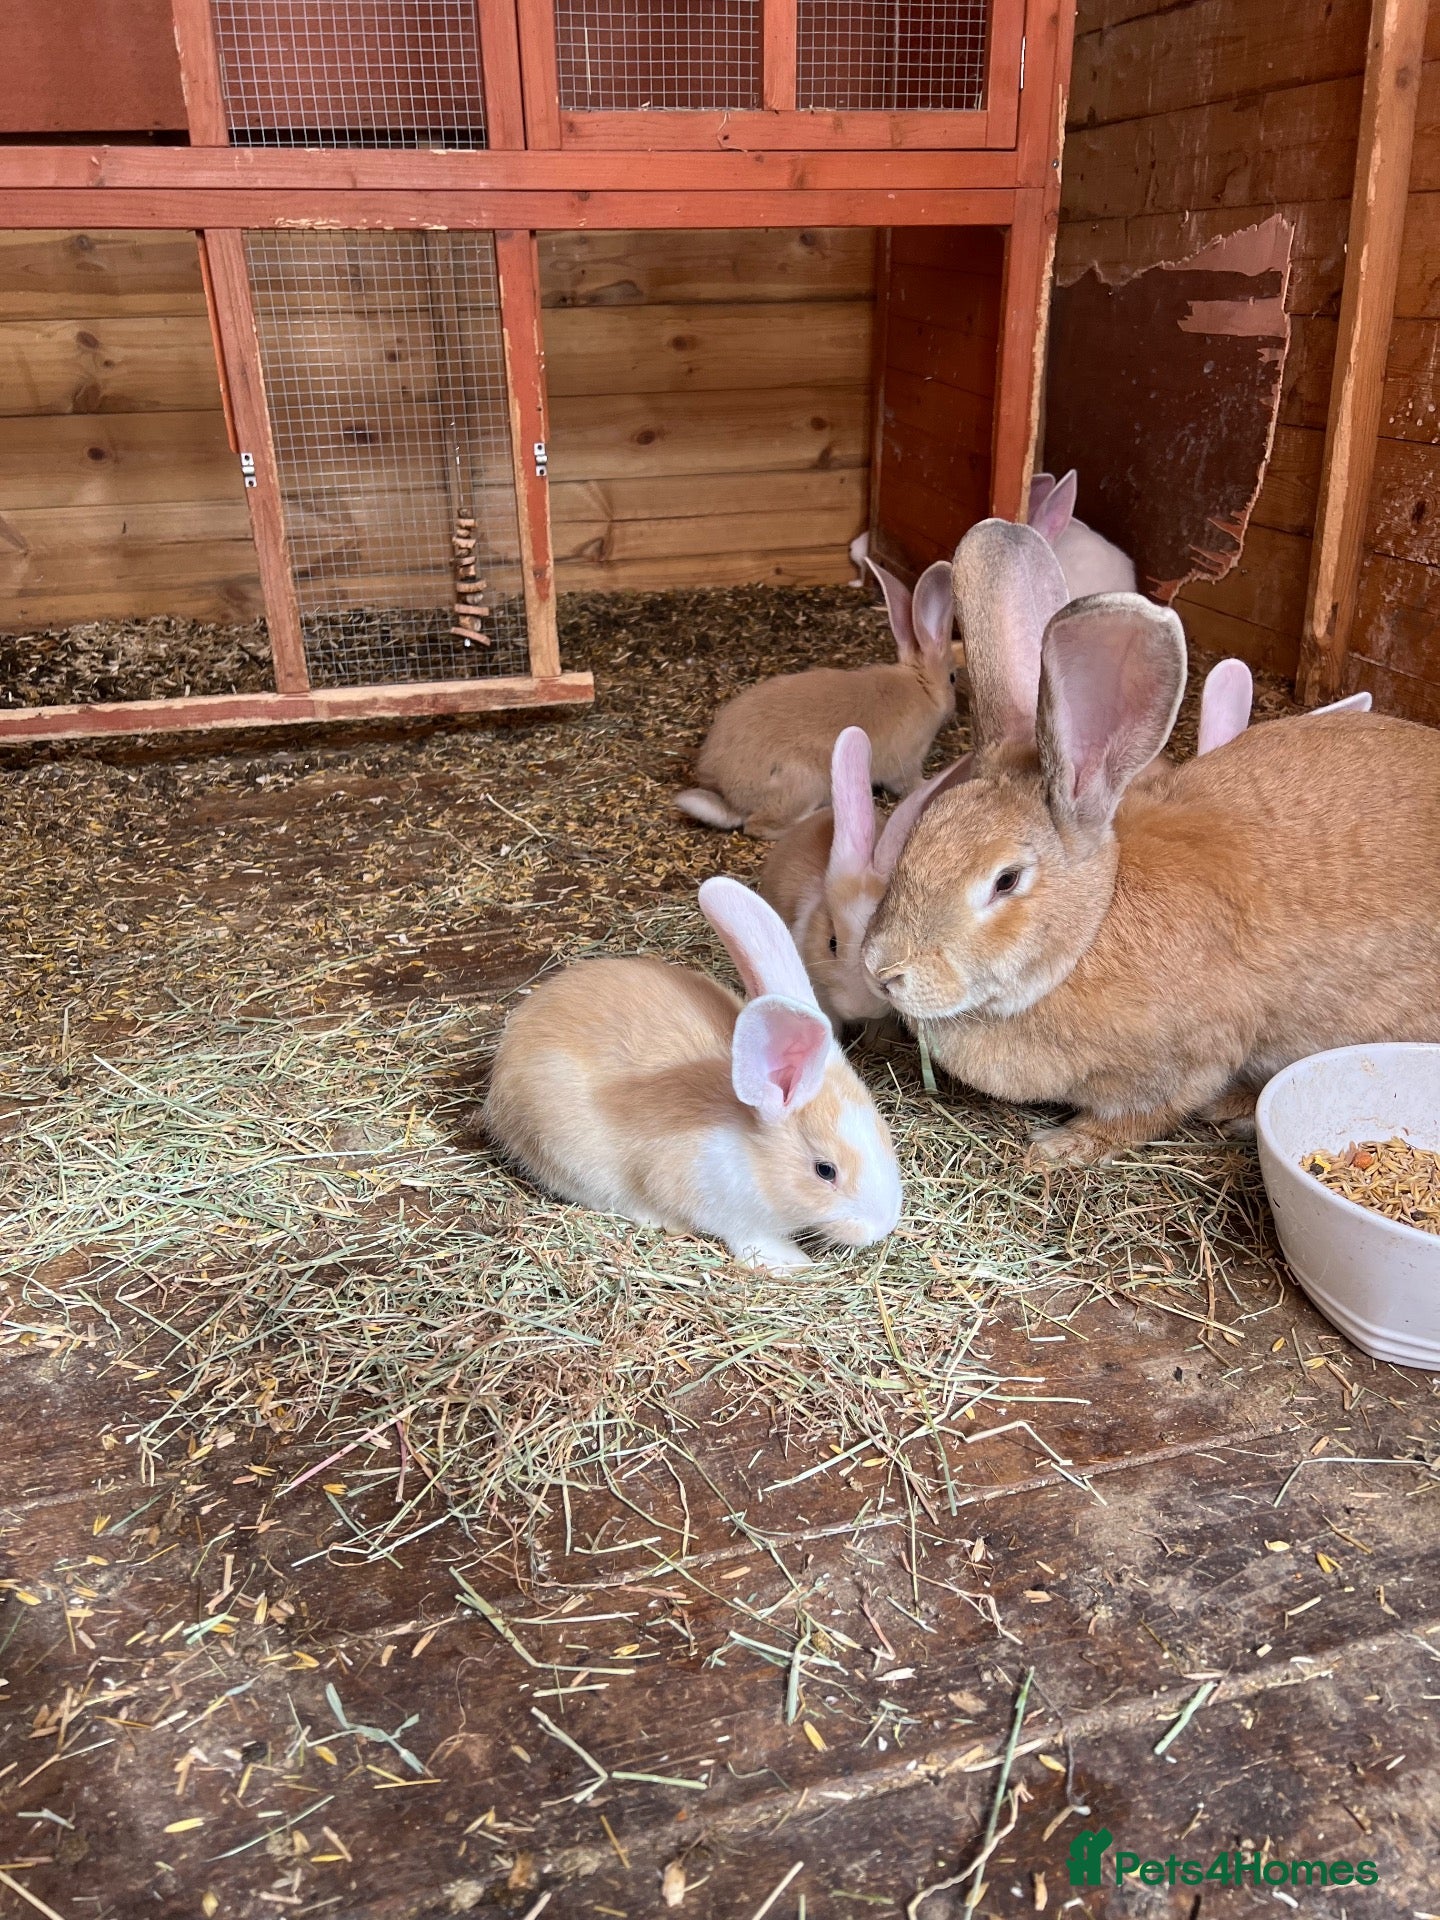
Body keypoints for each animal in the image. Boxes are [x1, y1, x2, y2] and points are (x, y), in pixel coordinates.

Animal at [484, 875, 903, 1272]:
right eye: (825, 1171)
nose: (882, 1226)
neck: (751, 1151)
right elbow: (750, 1237)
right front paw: (787, 1263)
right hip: (563, 1149)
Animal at [674, 557, 957, 839]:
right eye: (953, 678)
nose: (953, 704)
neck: (922, 687)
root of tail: (729, 797)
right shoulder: (906, 764)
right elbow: (909, 783)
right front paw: (928, 782)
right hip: (804, 784)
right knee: (759, 825)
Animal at [861, 516, 1440, 1166]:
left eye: (1005, 880)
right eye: (920, 832)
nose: (882, 971)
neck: (1086, 935)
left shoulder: (1189, 1060)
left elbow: (1140, 1116)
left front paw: (1060, 1147)